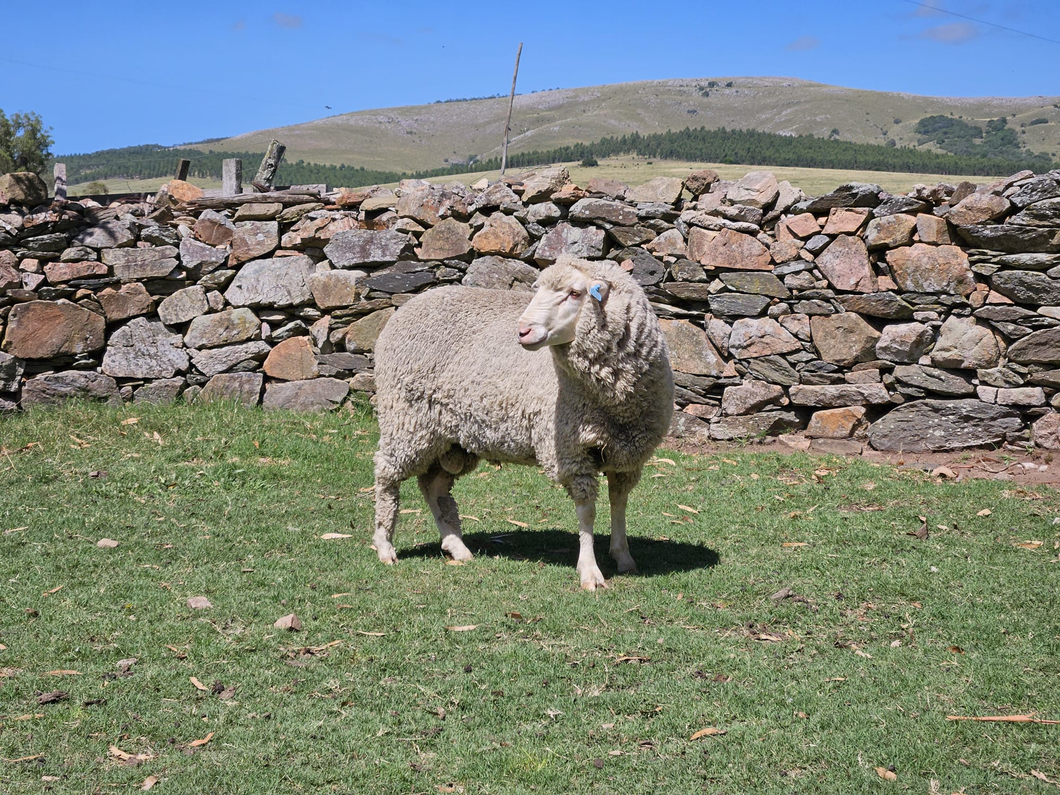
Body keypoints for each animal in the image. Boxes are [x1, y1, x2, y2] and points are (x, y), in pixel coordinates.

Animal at [370, 256, 669, 593]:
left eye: (575, 293)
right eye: (536, 289)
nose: (523, 331)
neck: (614, 401)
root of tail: (407, 307)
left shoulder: (626, 455)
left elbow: (619, 503)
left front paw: (623, 557)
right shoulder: (571, 451)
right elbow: (587, 511)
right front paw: (590, 571)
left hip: (451, 439)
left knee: (433, 486)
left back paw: (457, 547)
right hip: (407, 420)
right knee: (387, 475)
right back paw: (385, 545)